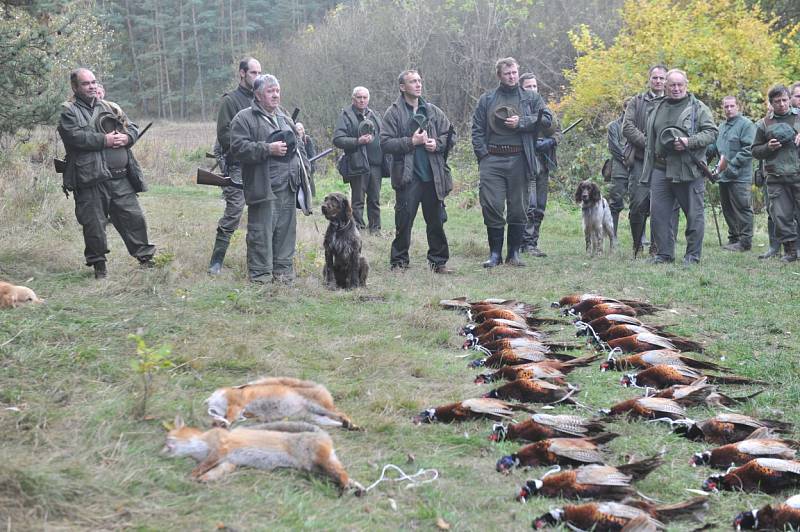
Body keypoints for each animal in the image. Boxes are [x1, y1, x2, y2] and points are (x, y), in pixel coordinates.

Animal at [162, 416, 362, 494]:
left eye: (167, 439)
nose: (159, 453)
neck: (202, 443)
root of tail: (321, 433)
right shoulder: (229, 462)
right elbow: (214, 472)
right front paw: (204, 479)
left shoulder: (221, 449)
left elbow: (201, 467)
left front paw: (191, 476)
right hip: (319, 469)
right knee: (346, 475)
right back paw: (357, 489)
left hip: (322, 463)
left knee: (343, 474)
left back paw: (346, 488)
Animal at [205, 376, 358, 430]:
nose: (212, 413)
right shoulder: (244, 413)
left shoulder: (236, 406)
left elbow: (230, 417)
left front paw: (224, 423)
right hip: (313, 418)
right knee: (336, 422)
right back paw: (350, 426)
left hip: (321, 408)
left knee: (341, 414)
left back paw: (350, 424)